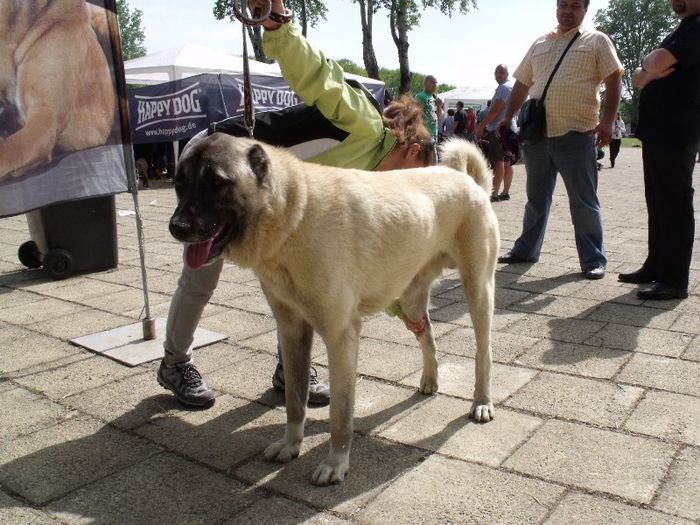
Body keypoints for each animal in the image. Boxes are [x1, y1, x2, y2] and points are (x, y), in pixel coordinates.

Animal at [169, 134, 498, 484]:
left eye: (216, 182)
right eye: (179, 183)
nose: (176, 227)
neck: (294, 214)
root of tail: (467, 181)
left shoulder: (341, 336)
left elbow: (341, 413)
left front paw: (336, 463)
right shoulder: (292, 331)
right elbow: (294, 399)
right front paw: (290, 445)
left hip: (478, 291)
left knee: (484, 352)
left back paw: (482, 402)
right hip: (410, 302)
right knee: (429, 335)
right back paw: (430, 380)